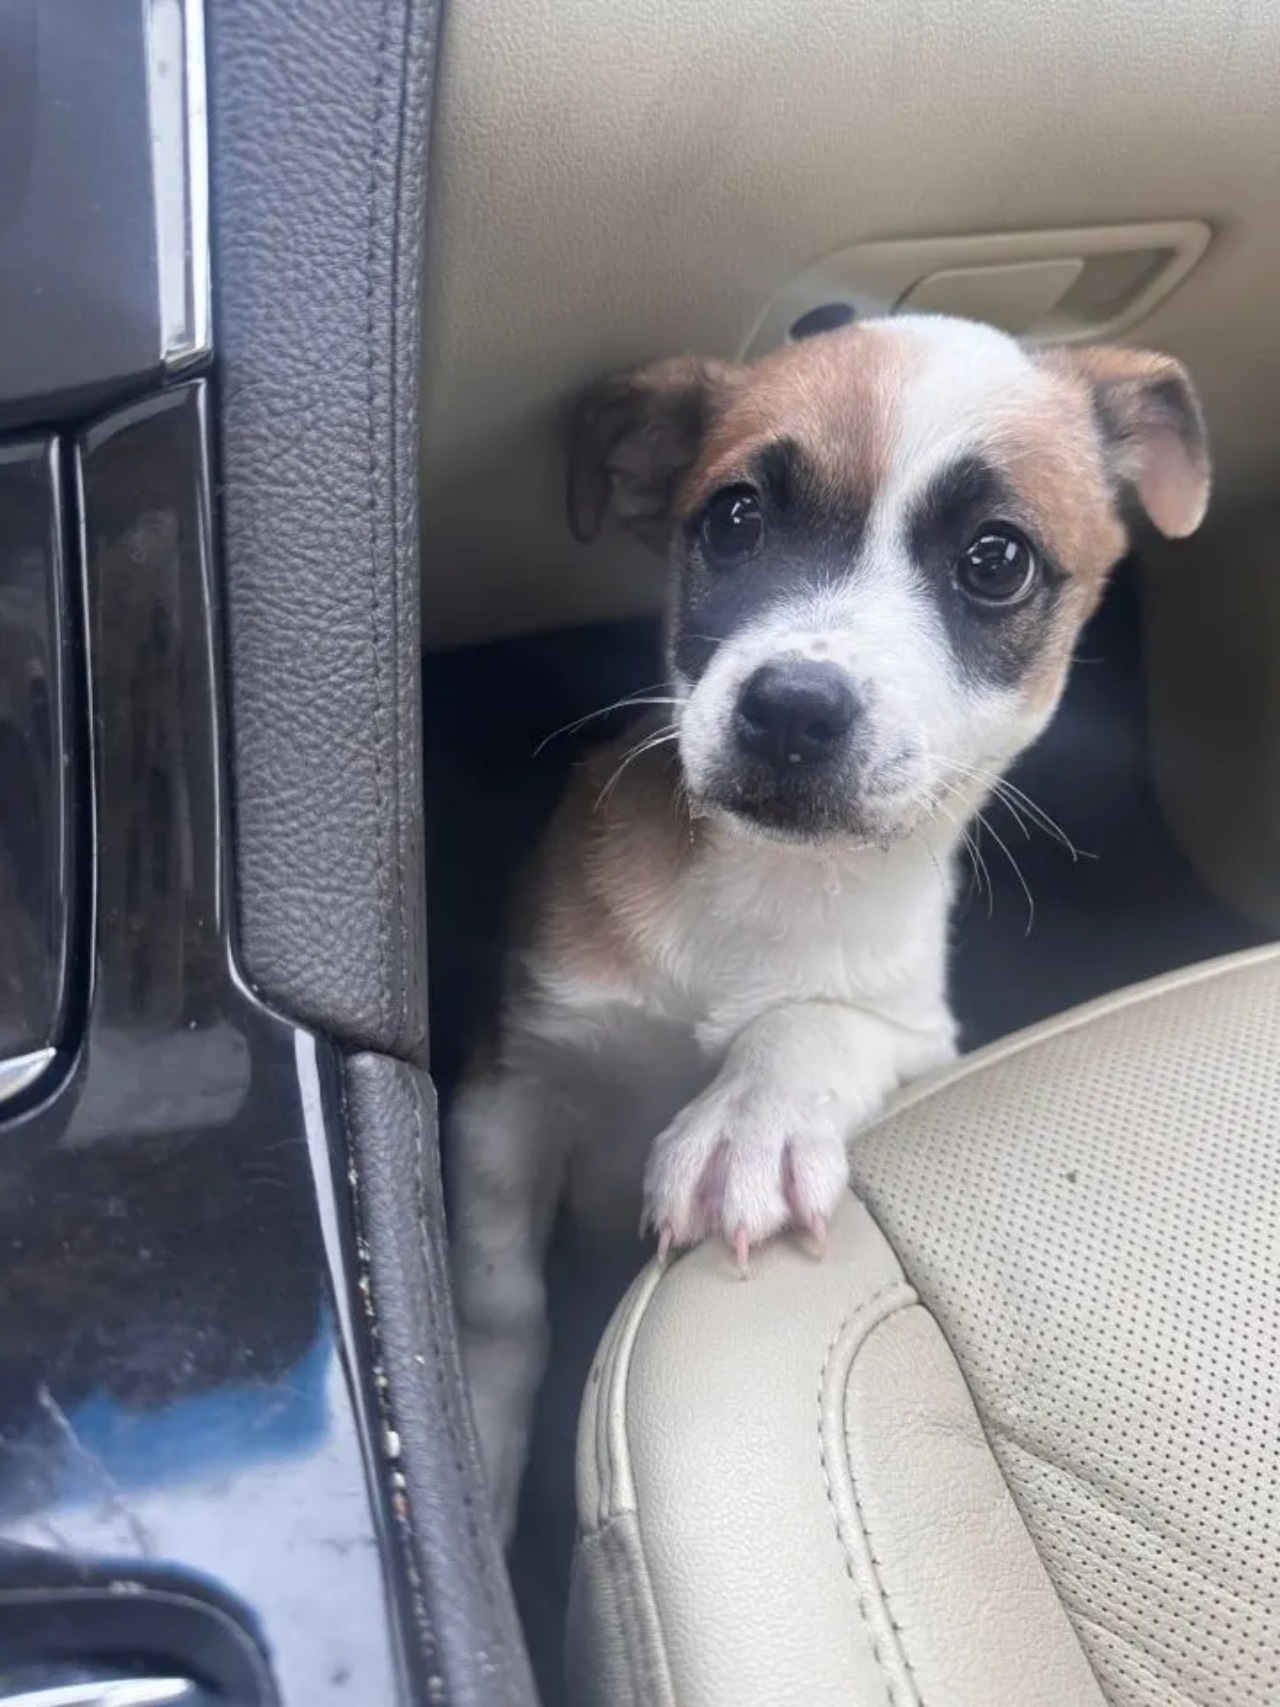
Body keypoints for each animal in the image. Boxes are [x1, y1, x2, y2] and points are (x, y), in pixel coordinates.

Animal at [450, 317, 1215, 1536]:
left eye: (994, 560)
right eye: (734, 518)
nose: (791, 710)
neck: (769, 884)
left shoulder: (918, 1031)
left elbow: (812, 1026)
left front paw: (750, 1122)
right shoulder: (511, 1078)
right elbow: (497, 1300)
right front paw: (479, 1430)